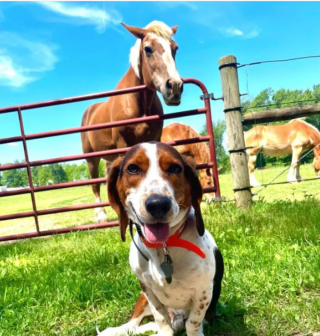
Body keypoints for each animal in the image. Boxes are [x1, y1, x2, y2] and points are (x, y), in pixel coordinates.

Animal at [81, 20, 184, 220]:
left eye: (175, 48)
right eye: (148, 49)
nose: (175, 86)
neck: (137, 102)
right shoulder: (122, 143)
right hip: (91, 159)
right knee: (95, 184)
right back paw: (100, 214)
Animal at [99, 142, 224, 336]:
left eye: (175, 168)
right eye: (132, 168)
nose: (157, 204)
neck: (163, 246)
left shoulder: (204, 292)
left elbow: (193, 323)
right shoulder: (147, 289)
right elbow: (160, 317)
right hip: (141, 298)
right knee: (133, 323)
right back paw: (115, 330)